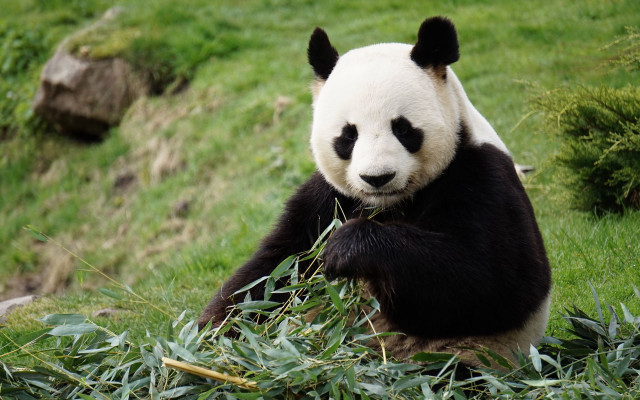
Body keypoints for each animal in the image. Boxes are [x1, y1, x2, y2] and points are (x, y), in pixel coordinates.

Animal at [199, 16, 551, 369]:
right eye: (348, 135)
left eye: (403, 129)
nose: (377, 177)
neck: (387, 204)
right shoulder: (328, 199)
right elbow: (273, 271)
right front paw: (212, 338)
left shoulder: (480, 176)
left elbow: (492, 280)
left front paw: (345, 248)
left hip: (460, 355)